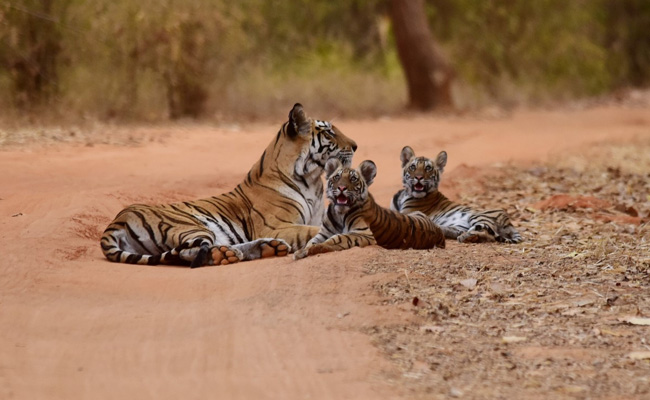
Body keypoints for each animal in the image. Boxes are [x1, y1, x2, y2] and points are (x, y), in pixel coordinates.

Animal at [101, 103, 358, 268]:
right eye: (329, 132)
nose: (355, 145)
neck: (312, 179)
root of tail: (116, 221)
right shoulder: (276, 225)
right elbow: (312, 231)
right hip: (189, 226)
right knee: (189, 253)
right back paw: (229, 254)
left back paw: (268, 248)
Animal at [294, 158, 445, 259]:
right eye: (337, 177)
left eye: (353, 179)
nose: (341, 187)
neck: (339, 213)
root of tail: (439, 232)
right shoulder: (324, 232)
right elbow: (311, 241)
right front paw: (302, 251)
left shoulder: (364, 233)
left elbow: (338, 238)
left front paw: (314, 249)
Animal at [390, 146, 523, 244]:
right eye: (413, 167)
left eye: (428, 168)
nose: (418, 177)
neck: (404, 194)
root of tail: (509, 221)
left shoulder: (407, 213)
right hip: (460, 225)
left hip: (478, 217)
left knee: (484, 232)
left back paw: (465, 237)